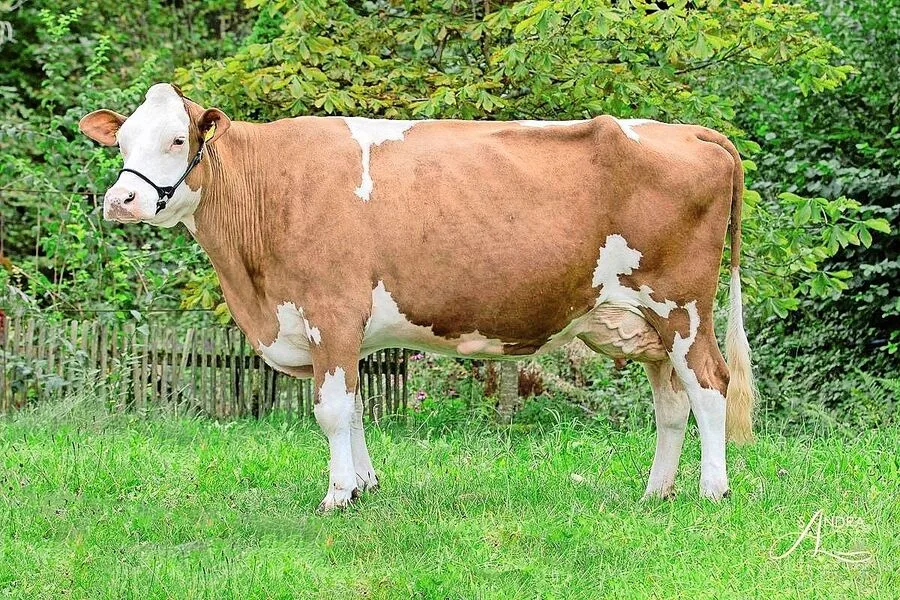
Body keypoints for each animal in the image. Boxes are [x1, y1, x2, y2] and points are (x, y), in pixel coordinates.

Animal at [80, 83, 756, 511]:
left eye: (176, 140)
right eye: (121, 143)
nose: (120, 200)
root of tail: (692, 132)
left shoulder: (331, 312)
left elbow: (330, 410)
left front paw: (336, 496)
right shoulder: (340, 331)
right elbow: (355, 407)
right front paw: (364, 485)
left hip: (683, 309)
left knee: (710, 386)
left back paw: (712, 492)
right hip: (646, 326)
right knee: (672, 405)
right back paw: (656, 493)